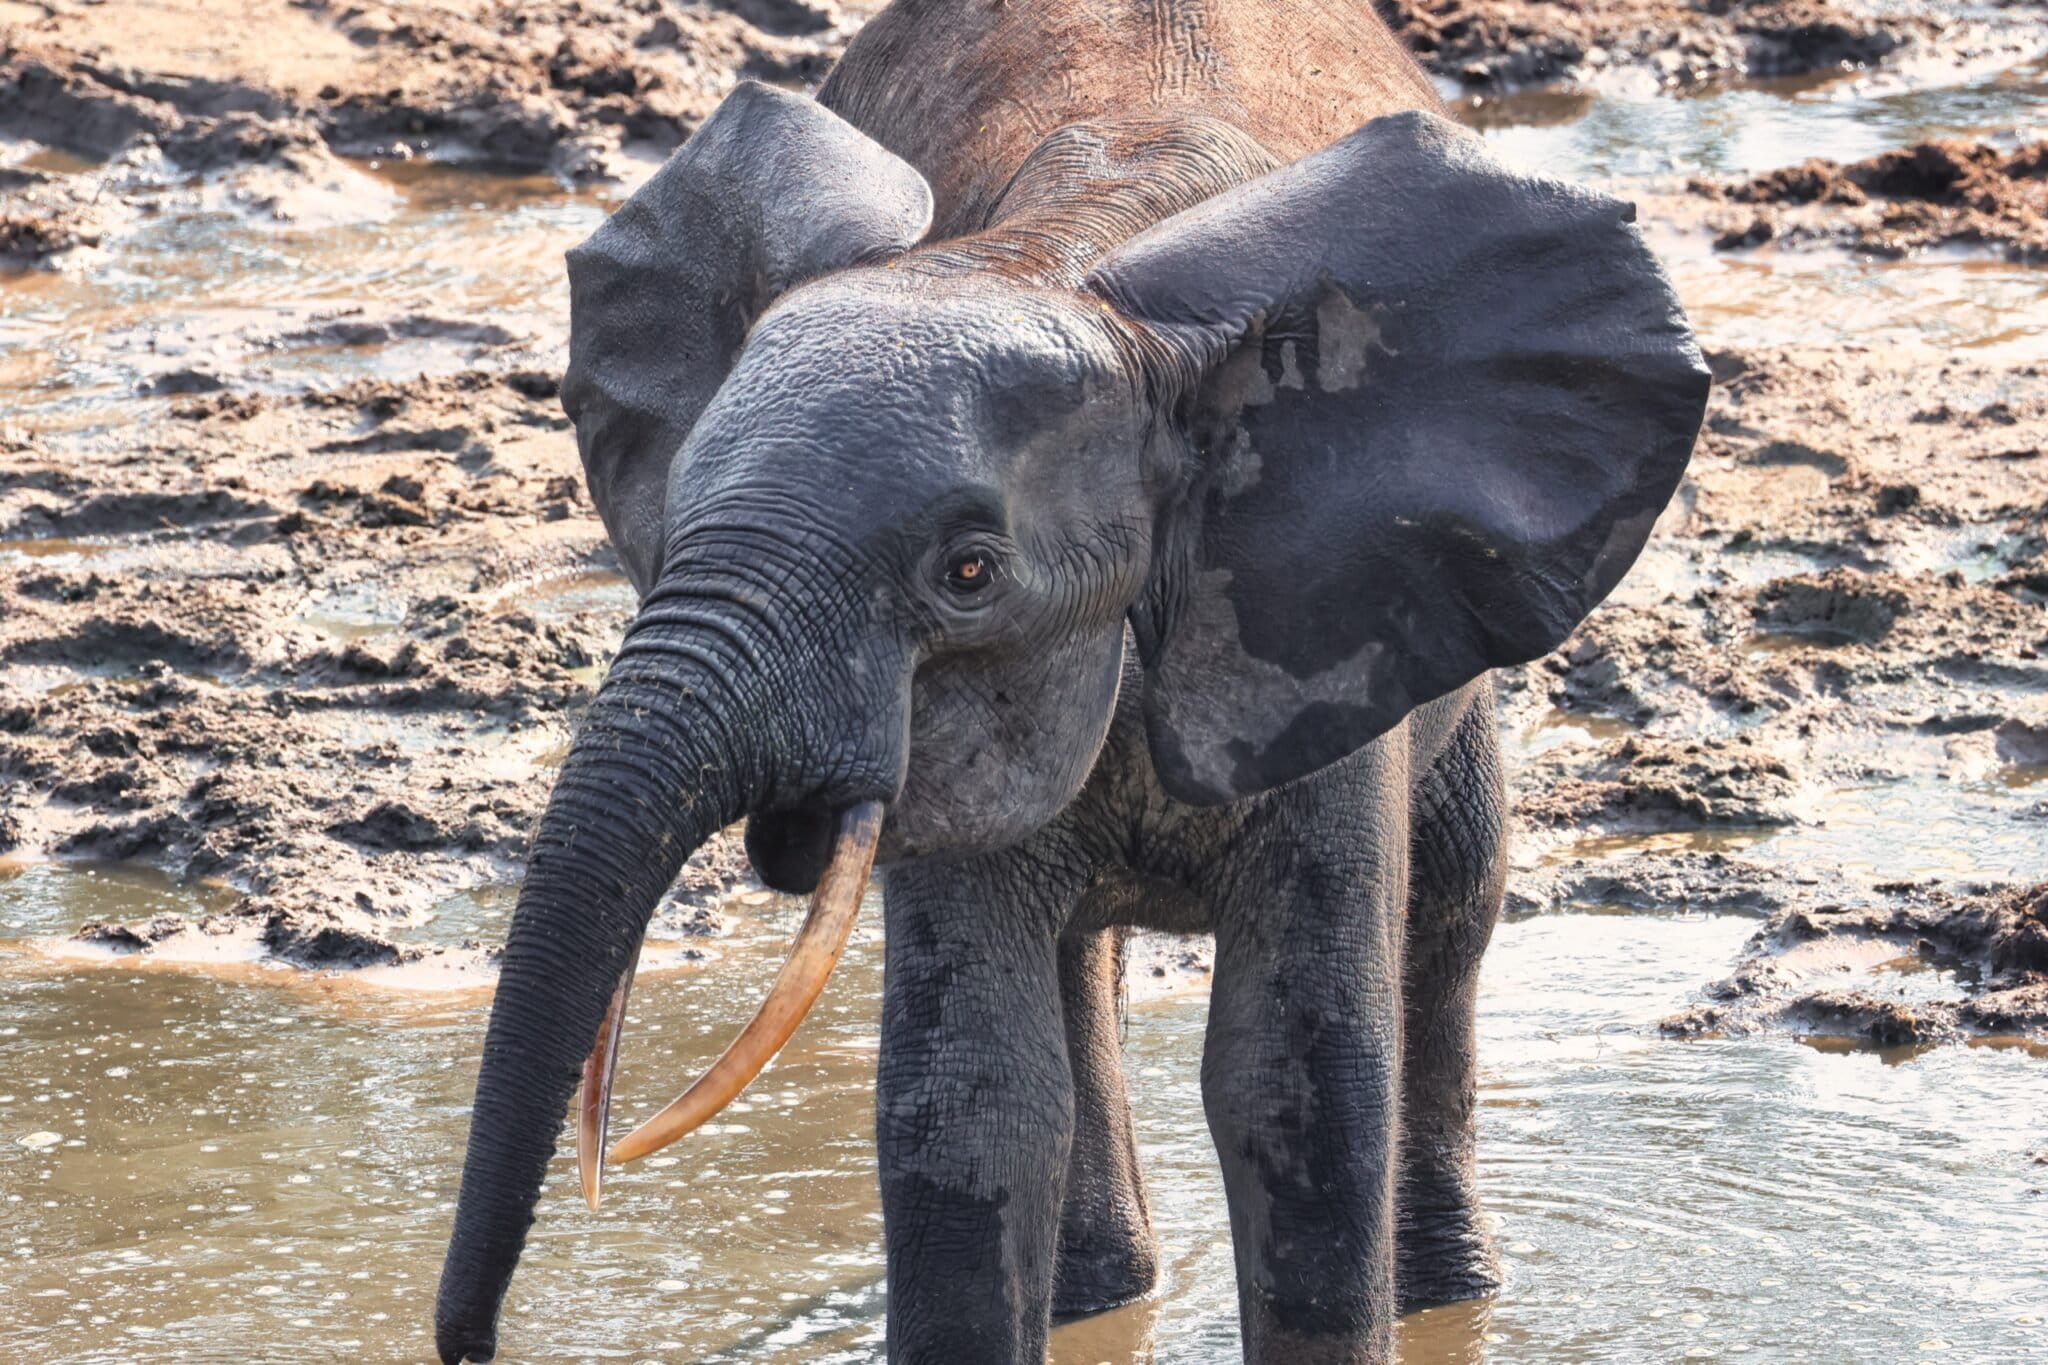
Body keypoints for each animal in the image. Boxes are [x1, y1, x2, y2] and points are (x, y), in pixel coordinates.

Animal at [434, 2, 1708, 1362]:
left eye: (969, 570)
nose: (470, 1339)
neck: (1061, 261)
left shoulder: (1315, 619)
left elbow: (1294, 1082)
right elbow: (971, 1099)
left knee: (1456, 906)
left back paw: (1444, 1295)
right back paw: (1100, 1296)